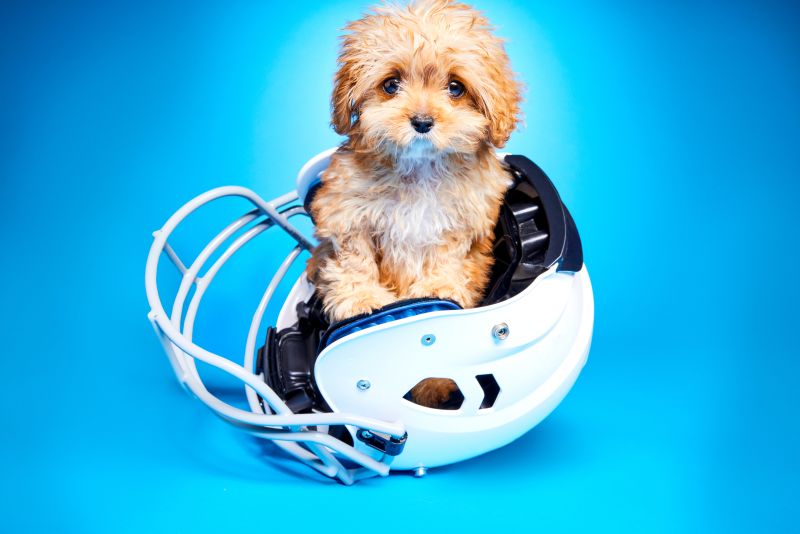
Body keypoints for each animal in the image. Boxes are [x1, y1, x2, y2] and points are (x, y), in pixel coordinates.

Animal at [304, 0, 520, 408]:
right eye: (391, 85)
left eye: (455, 88)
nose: (422, 121)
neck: (419, 167)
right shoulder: (347, 213)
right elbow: (354, 258)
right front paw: (362, 298)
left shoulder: (462, 223)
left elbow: (447, 256)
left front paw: (437, 290)